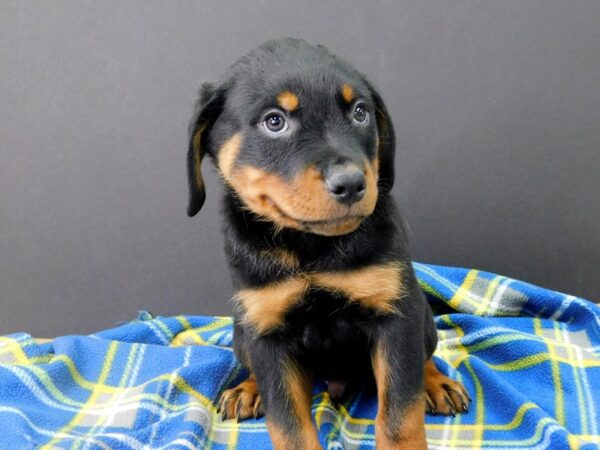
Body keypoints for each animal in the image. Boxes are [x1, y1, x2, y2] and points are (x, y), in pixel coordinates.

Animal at [186, 37, 468, 446]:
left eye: (360, 113)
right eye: (274, 121)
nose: (351, 184)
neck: (312, 247)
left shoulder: (395, 318)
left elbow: (400, 412)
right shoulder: (268, 333)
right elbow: (288, 425)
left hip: (421, 314)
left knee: (423, 356)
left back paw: (436, 382)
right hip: (242, 332)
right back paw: (248, 390)